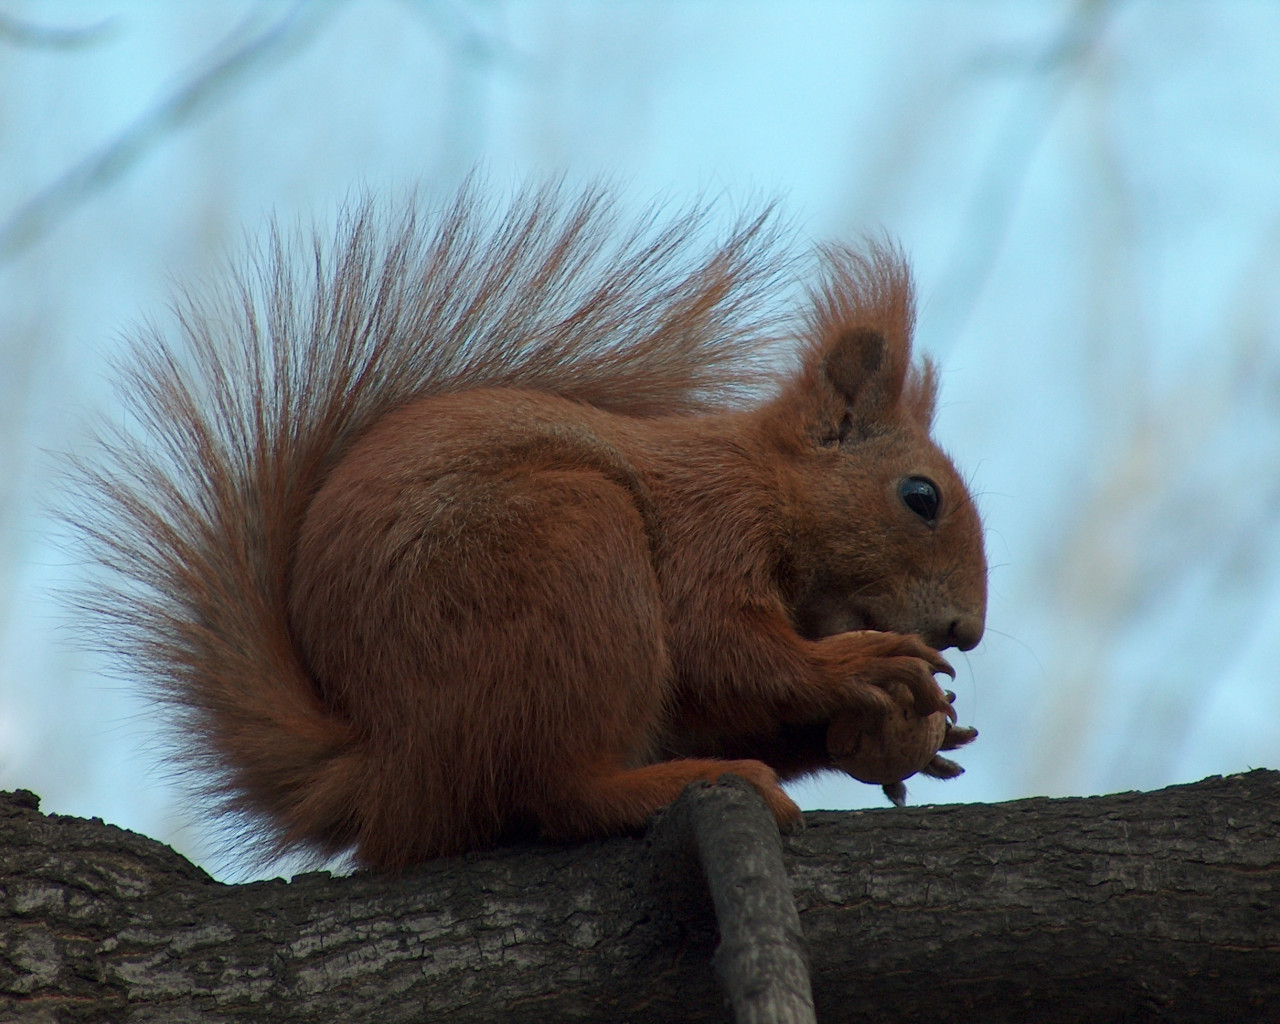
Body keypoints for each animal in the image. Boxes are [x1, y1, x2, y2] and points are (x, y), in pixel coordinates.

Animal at [70, 184, 983, 870]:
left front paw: (911, 733)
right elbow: (723, 648)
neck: (767, 484)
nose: (965, 631)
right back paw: (677, 782)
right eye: (921, 498)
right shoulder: (710, 526)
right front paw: (859, 666)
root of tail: (388, 772)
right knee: (556, 790)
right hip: (572, 552)